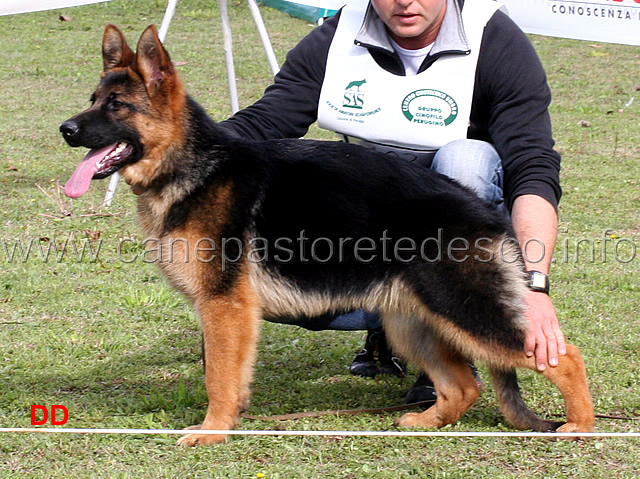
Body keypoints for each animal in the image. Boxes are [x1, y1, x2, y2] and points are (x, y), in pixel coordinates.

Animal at [61, 25, 596, 446]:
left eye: (116, 105)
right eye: (93, 101)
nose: (65, 129)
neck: (190, 165)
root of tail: (486, 212)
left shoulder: (224, 307)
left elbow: (219, 376)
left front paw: (213, 430)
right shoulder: (223, 311)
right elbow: (227, 373)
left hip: (465, 311)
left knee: (565, 356)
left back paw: (582, 427)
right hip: (410, 323)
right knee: (464, 385)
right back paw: (424, 422)